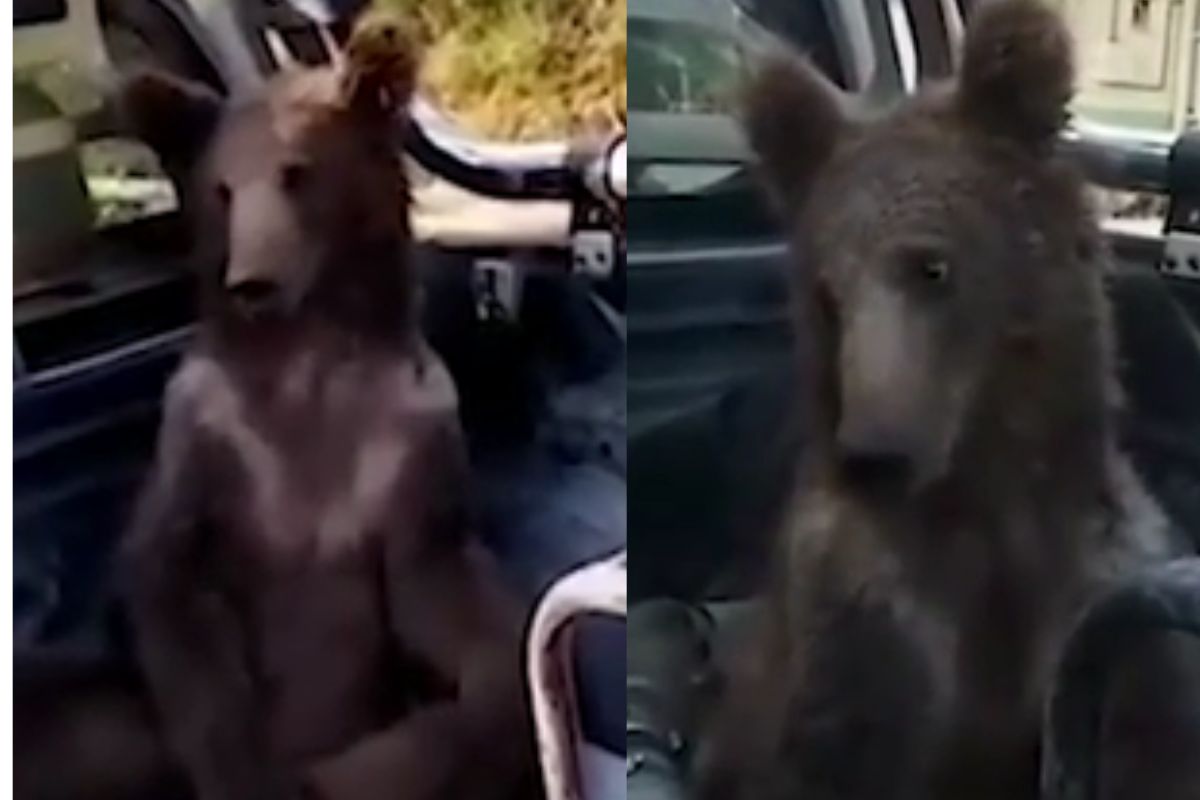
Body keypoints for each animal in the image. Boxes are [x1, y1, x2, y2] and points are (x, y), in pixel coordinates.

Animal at [117, 14, 540, 800]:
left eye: (297, 172)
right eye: (222, 189)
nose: (253, 282)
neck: (305, 364)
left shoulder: (405, 433)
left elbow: (448, 596)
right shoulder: (210, 436)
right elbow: (173, 588)